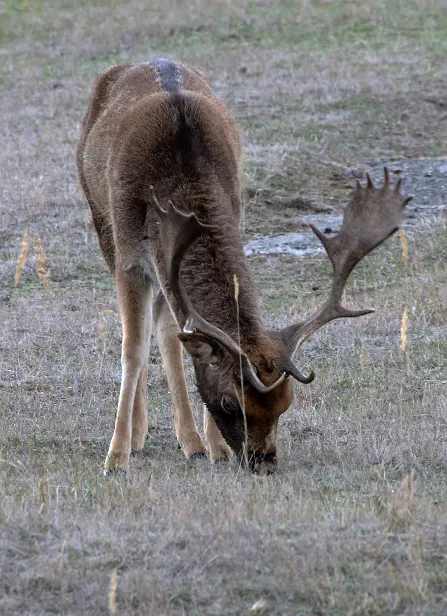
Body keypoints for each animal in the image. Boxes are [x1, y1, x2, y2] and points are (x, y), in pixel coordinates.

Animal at [77, 57, 412, 474]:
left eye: (285, 405)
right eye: (230, 403)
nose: (264, 463)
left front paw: (216, 447)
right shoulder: (129, 257)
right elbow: (133, 350)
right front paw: (115, 456)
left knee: (169, 330)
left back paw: (192, 442)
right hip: (101, 221)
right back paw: (140, 438)